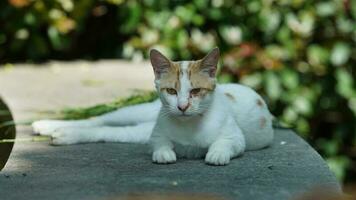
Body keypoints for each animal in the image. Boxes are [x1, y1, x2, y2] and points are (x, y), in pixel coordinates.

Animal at [32, 48, 272, 166]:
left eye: (195, 91)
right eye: (172, 91)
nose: (182, 106)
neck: (188, 126)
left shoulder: (236, 138)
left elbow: (223, 144)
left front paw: (216, 154)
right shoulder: (157, 135)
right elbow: (161, 145)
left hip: (139, 130)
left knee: (108, 130)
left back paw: (60, 133)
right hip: (141, 113)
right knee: (100, 120)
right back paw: (49, 126)